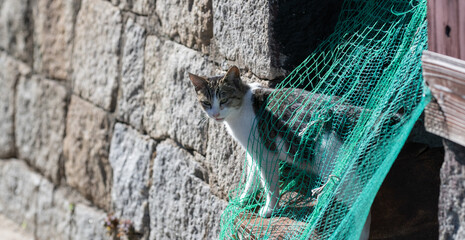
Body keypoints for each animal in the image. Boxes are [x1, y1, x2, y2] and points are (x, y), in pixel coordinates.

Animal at [188, 65, 370, 238]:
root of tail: (350, 110)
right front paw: (245, 199)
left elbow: (270, 185)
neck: (240, 109)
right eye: (206, 103)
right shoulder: (253, 152)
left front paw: (269, 209)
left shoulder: (266, 154)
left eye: (224, 99)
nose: (215, 114)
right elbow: (252, 178)